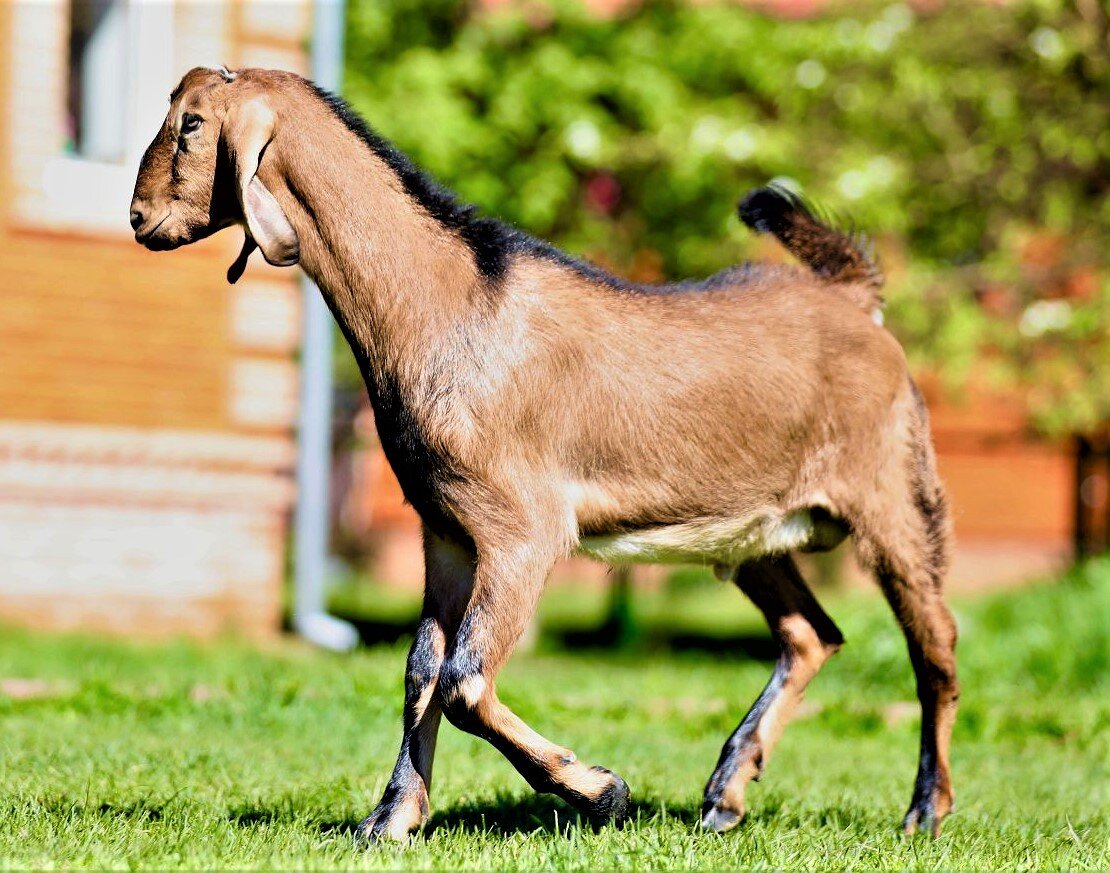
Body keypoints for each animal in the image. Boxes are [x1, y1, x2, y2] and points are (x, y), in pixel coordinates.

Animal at [129, 68, 959, 844]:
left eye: (192, 124)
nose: (139, 218)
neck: (446, 304)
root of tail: (852, 297)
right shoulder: (445, 529)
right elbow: (421, 670)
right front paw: (392, 816)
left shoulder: (522, 531)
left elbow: (464, 681)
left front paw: (599, 790)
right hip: (749, 531)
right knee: (811, 633)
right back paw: (725, 794)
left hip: (891, 493)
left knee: (935, 642)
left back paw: (925, 808)